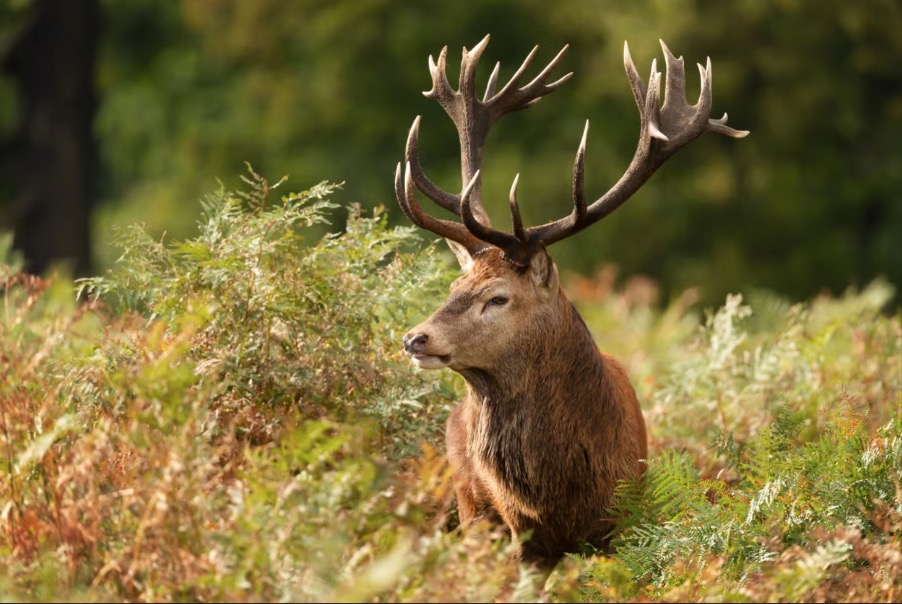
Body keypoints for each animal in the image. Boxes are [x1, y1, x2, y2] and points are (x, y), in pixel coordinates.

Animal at [396, 35, 748, 572]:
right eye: (454, 288)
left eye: (497, 297)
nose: (415, 338)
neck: (561, 491)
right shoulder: (517, 534)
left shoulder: (624, 520)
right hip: (469, 509)